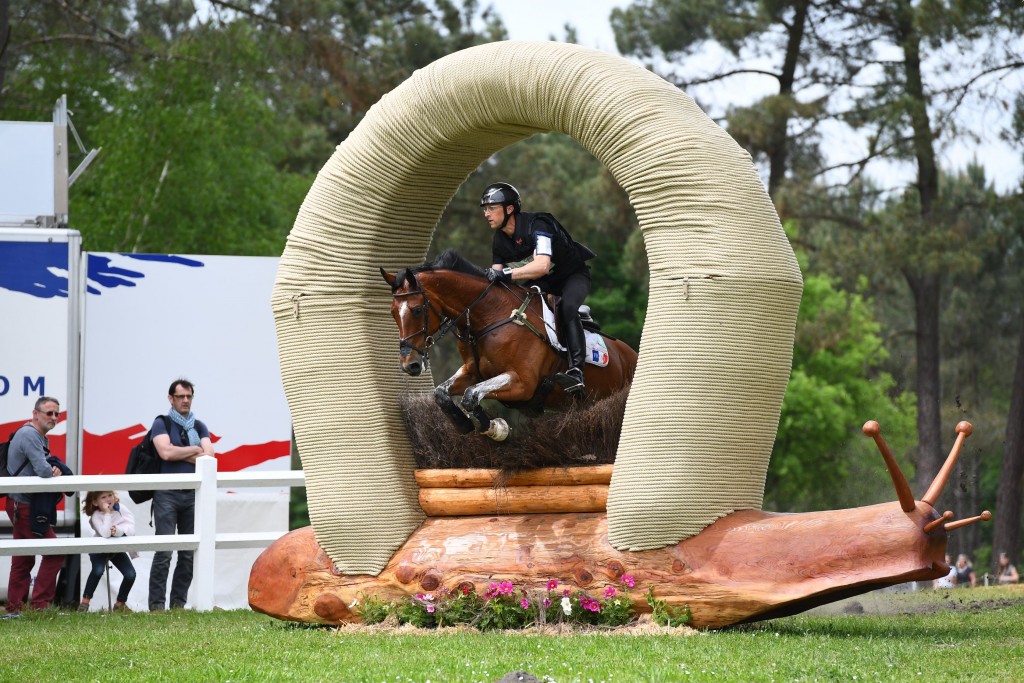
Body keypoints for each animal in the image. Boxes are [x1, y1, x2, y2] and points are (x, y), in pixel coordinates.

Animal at [382, 250, 634, 444]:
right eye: (392, 313)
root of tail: (630, 354)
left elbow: (471, 395)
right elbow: (442, 393)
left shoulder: (523, 382)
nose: (410, 364)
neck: (489, 316)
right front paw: (463, 424)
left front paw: (495, 427)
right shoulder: (473, 371)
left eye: (416, 310)